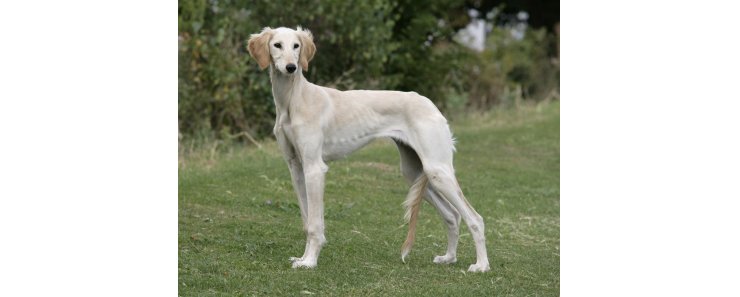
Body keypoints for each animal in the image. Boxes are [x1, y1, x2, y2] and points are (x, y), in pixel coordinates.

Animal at [249, 26, 492, 272]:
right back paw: (449, 257)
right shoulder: (296, 168)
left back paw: (481, 265)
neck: (294, 100)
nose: (291, 67)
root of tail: (430, 104)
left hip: (437, 170)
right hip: (415, 172)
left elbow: (315, 224)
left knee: (475, 218)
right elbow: (307, 221)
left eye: (296, 46)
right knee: (452, 216)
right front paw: (303, 258)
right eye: (277, 45)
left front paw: (310, 261)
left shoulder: (314, 168)